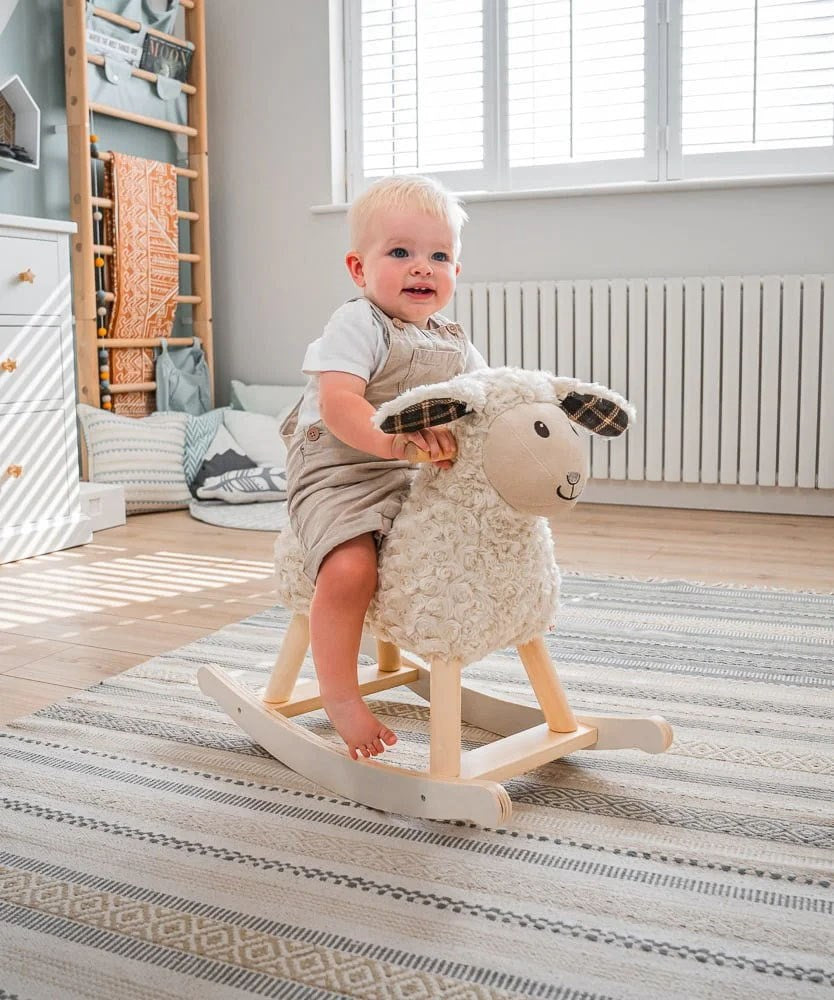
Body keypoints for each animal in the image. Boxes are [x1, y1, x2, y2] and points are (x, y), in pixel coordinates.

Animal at [274, 366, 634, 666]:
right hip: (310, 578)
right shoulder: (445, 641)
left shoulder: (527, 630)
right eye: (541, 429)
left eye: (572, 431)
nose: (574, 477)